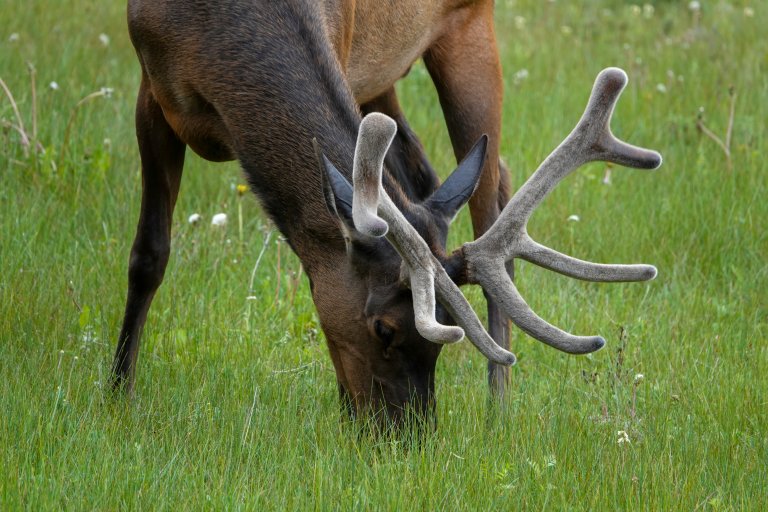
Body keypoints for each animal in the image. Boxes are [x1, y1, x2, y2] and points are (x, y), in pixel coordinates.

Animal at [112, 0, 660, 424]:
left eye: (445, 335)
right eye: (384, 329)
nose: (410, 434)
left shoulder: (346, 47)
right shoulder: (149, 91)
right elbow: (149, 256)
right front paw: (118, 393)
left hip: (470, 30)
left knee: (493, 192)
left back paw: (499, 406)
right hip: (383, 82)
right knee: (426, 181)